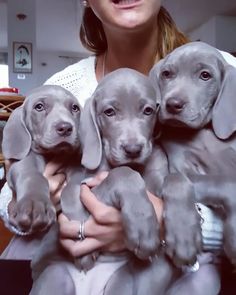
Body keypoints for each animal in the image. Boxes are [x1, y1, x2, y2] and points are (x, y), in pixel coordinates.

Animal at [150, 41, 236, 295]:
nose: (172, 104)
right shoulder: (179, 167)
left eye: (205, 75)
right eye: (167, 74)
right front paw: (182, 234)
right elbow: (177, 179)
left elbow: (227, 180)